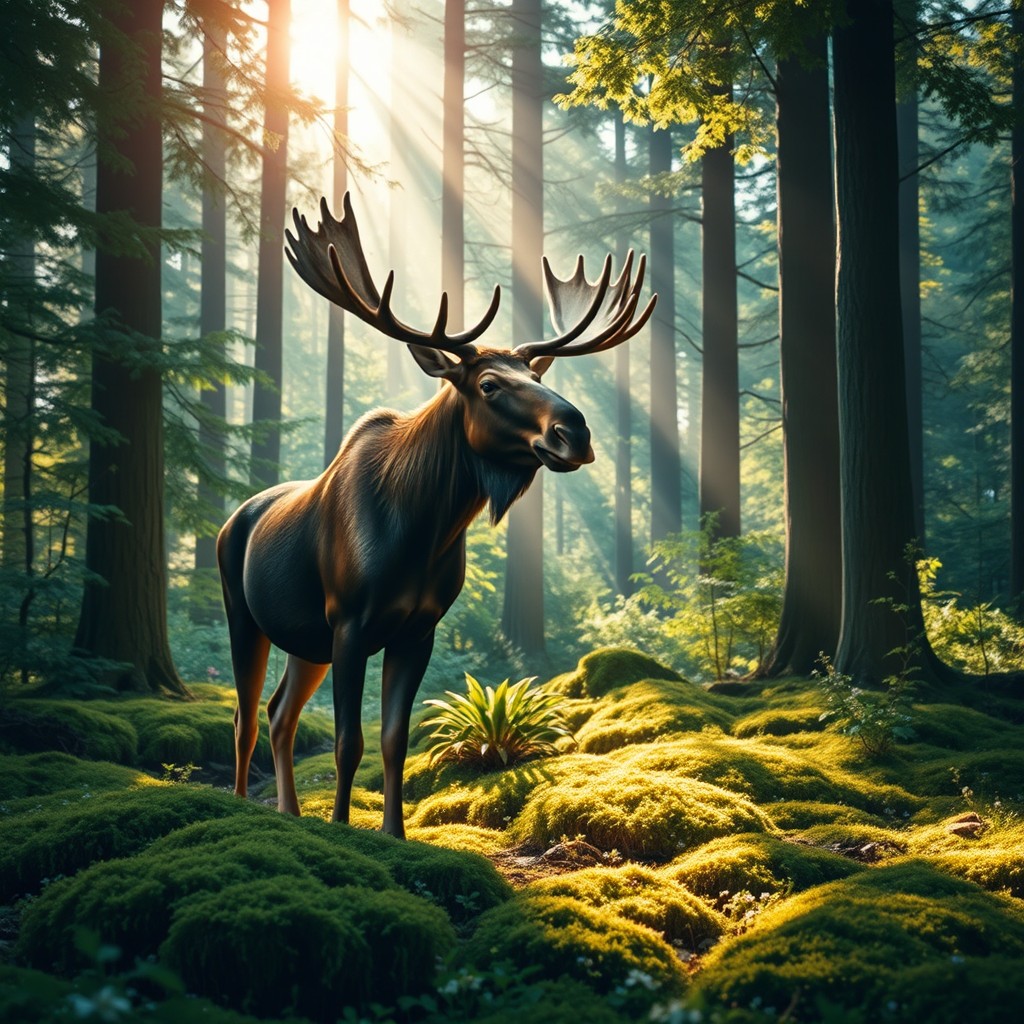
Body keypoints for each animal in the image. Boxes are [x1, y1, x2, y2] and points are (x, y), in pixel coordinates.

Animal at [217, 193, 655, 838]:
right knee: (247, 716)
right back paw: (248, 807)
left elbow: (395, 740)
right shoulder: (349, 623)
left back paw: (292, 813)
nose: (575, 431)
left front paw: (396, 834)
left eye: (537, 375)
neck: (422, 530)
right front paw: (344, 827)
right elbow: (349, 742)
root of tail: (232, 521)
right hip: (245, 615)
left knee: (279, 714)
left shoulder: (418, 628)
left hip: (305, 641)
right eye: (490, 384)